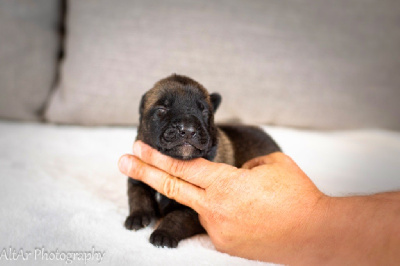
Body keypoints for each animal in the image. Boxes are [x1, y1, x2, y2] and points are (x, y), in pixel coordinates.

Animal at [126, 74, 282, 247]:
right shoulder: (138, 175)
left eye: (205, 111)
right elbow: (139, 195)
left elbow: (177, 217)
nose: (187, 130)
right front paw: (137, 216)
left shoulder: (196, 208)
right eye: (161, 110)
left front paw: (163, 234)